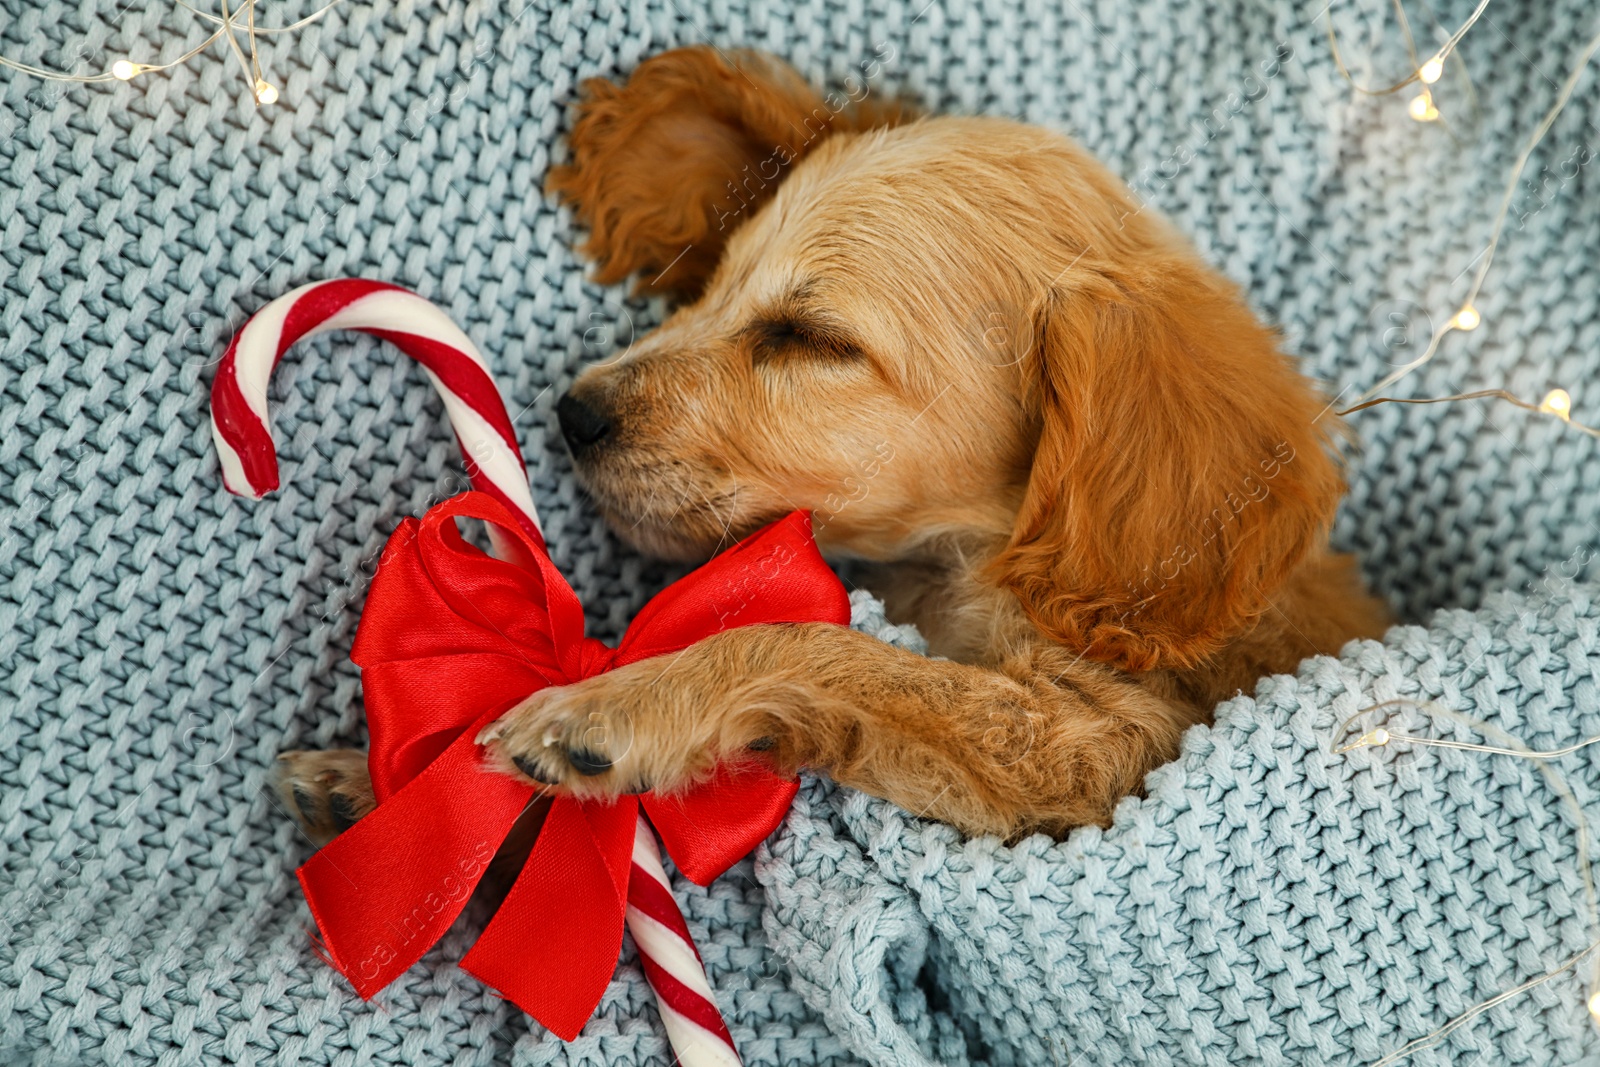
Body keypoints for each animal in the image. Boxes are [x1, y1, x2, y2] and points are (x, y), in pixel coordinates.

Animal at [281, 47, 1395, 844]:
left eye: (813, 339)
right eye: (714, 284)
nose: (572, 414)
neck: (959, 571)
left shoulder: (1102, 745)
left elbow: (831, 648)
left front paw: (625, 703)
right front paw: (384, 785)